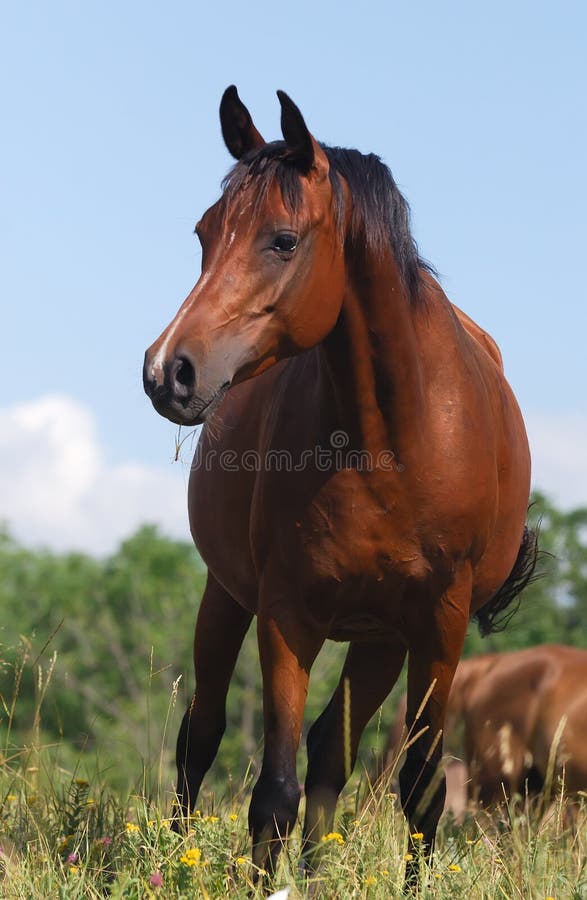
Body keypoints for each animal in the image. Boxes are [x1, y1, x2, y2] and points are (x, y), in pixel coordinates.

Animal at [145, 88, 540, 884]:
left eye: (282, 240)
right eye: (204, 232)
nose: (168, 370)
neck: (388, 438)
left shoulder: (439, 625)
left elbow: (419, 787)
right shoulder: (285, 613)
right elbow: (272, 793)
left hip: (379, 639)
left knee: (334, 749)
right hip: (229, 598)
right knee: (201, 735)